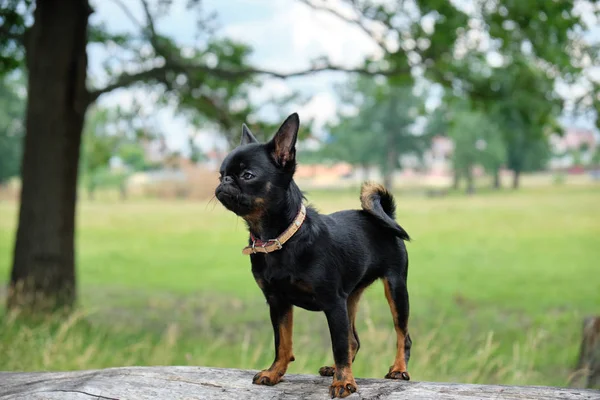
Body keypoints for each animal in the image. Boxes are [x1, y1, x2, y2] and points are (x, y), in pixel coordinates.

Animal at [216, 111, 412, 396]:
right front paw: (275, 372)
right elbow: (282, 342)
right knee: (354, 339)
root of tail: (383, 215)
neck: (280, 238)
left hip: (395, 289)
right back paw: (333, 369)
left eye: (248, 175)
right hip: (350, 298)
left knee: (401, 334)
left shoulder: (332, 303)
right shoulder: (278, 302)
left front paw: (344, 382)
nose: (224, 181)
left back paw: (398, 369)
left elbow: (338, 345)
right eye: (220, 174)